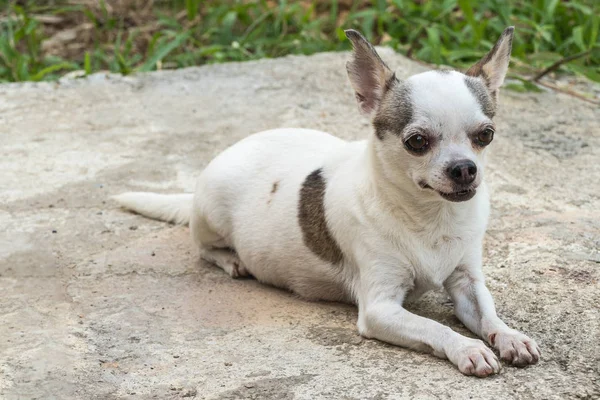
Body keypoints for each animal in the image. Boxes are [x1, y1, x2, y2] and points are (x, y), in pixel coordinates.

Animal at [112, 26, 540, 376]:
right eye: (417, 142)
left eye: (485, 135)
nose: (465, 168)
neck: (431, 216)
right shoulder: (380, 308)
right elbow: (434, 327)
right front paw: (468, 348)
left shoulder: (467, 282)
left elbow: (488, 313)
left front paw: (508, 336)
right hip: (211, 214)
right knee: (202, 246)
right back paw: (231, 260)